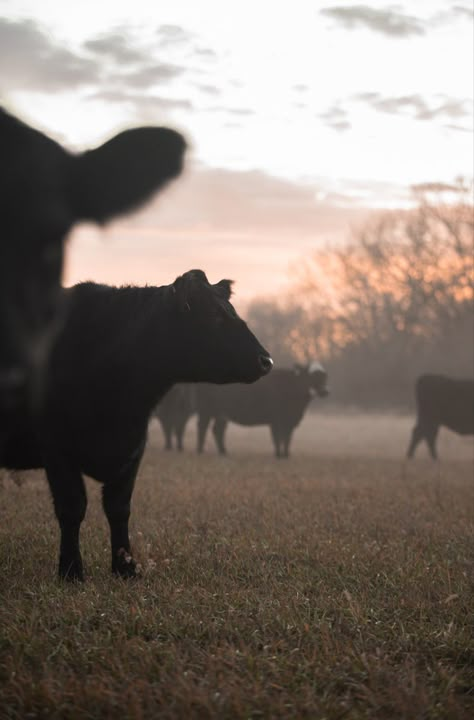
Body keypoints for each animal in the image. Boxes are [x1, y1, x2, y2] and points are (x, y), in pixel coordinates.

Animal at [0, 270, 272, 580]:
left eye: (232, 311)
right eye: (214, 315)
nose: (266, 360)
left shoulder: (133, 448)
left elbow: (119, 508)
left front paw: (126, 568)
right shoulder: (56, 447)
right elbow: (72, 507)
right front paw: (71, 572)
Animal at [196, 362, 330, 458]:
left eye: (324, 376)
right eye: (312, 376)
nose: (325, 391)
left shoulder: (290, 421)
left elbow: (287, 438)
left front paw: (286, 455)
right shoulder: (276, 420)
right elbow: (277, 438)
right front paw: (278, 455)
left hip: (221, 414)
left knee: (217, 430)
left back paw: (223, 452)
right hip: (206, 411)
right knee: (202, 428)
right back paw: (200, 450)